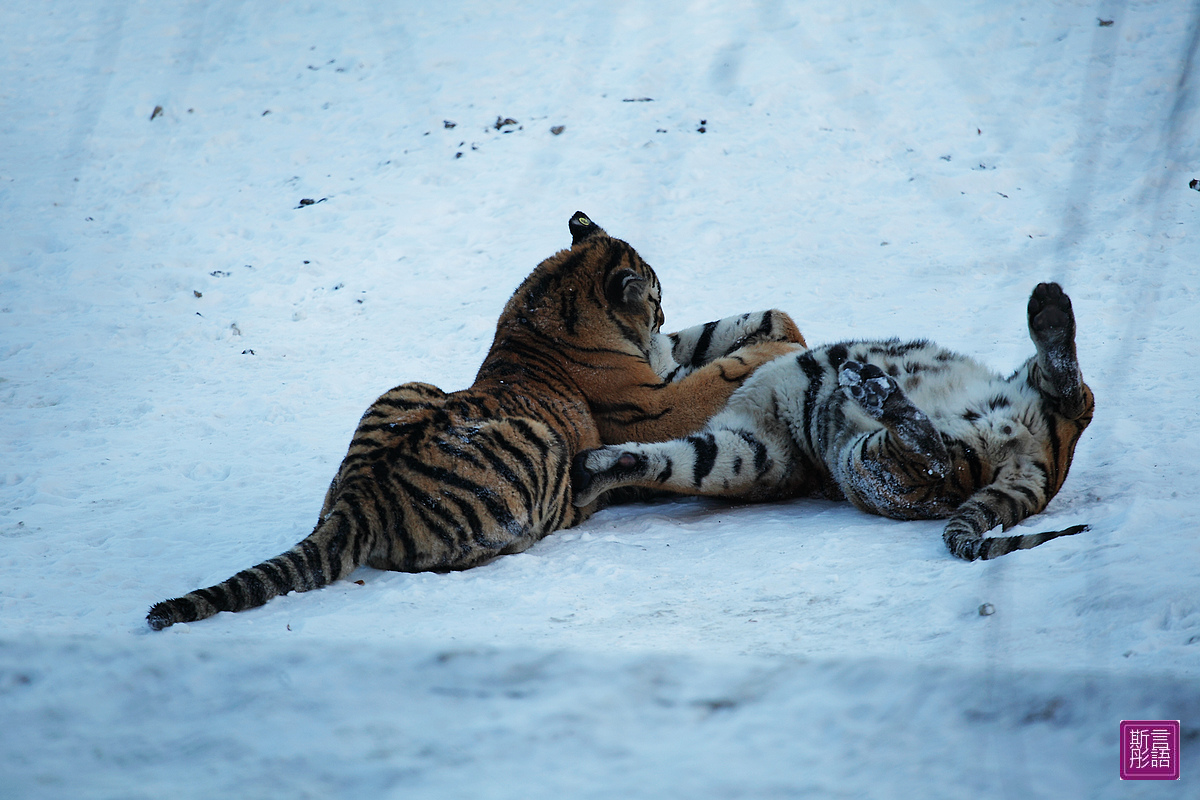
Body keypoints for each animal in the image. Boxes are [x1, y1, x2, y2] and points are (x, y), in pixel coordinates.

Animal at [150, 212, 806, 633]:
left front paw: (774, 326)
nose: (662, 309)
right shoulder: (654, 407)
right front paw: (780, 346)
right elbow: (717, 368)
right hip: (533, 447)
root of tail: (362, 499)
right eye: (656, 292)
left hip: (406, 387)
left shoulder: (664, 362)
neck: (553, 299)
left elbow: (719, 334)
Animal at [571, 284, 1099, 561]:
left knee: (1070, 393)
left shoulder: (756, 439)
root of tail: (1041, 466)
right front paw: (592, 471)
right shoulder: (756, 447)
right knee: (935, 454)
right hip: (866, 466)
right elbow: (687, 460)